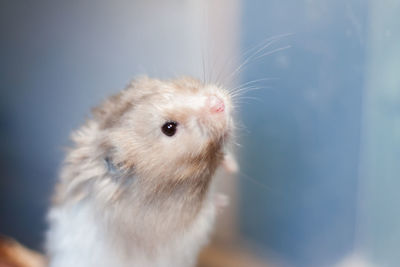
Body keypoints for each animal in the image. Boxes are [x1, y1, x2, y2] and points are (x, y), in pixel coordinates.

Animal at [45, 76, 236, 267]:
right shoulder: (185, 228)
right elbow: (209, 208)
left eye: (180, 86)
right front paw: (224, 199)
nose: (219, 104)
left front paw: (232, 166)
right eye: (169, 128)